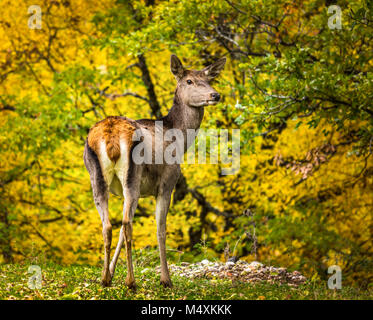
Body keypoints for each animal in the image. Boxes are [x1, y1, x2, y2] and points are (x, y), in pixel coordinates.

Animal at [83, 53, 225, 288]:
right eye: (189, 81)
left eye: (209, 79)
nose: (215, 94)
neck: (181, 140)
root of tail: (110, 136)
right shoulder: (168, 183)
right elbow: (161, 230)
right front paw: (166, 279)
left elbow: (120, 231)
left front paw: (111, 272)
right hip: (132, 173)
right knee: (127, 224)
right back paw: (131, 282)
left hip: (95, 175)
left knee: (109, 225)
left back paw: (104, 279)